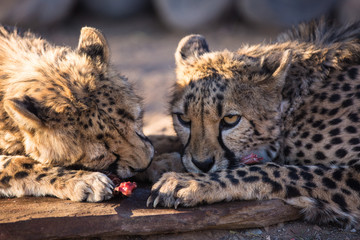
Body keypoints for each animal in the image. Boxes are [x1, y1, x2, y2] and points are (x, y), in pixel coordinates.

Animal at [147, 20, 360, 227]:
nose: (202, 164)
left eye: (230, 119)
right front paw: (157, 159)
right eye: (183, 119)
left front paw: (185, 182)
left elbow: (270, 169)